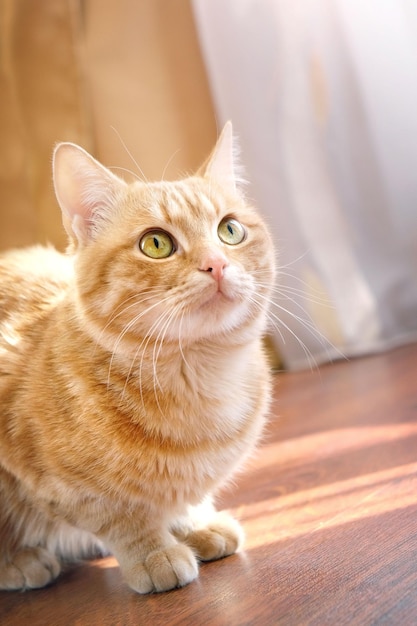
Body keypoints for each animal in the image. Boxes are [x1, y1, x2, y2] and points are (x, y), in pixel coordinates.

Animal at [0, 122, 274, 588]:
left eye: (230, 230)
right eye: (157, 244)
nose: (217, 264)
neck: (200, 378)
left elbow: (178, 497)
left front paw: (194, 524)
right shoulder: (54, 481)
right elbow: (118, 516)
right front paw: (153, 552)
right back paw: (19, 560)